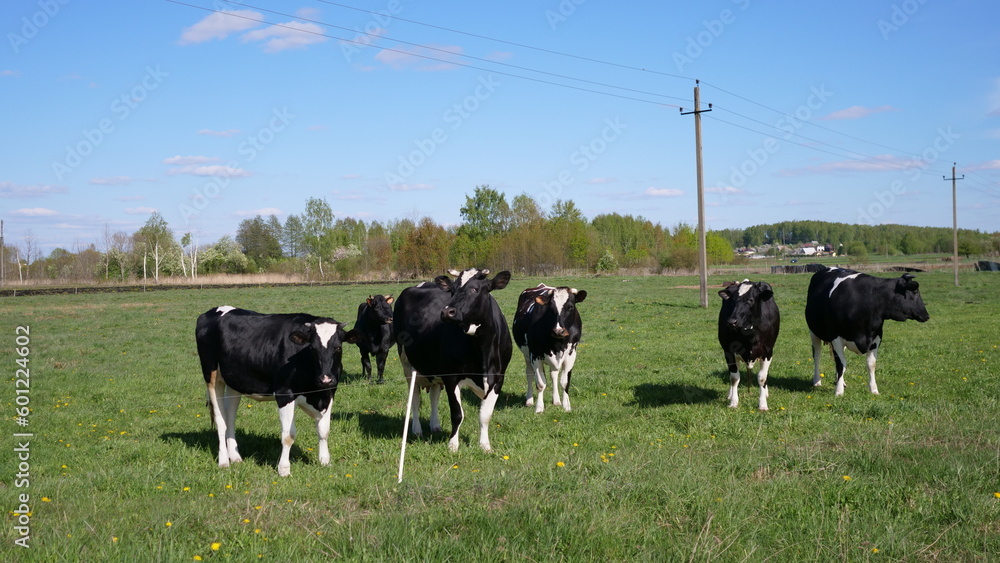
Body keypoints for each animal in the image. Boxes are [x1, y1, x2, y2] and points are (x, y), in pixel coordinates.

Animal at [195, 306, 358, 476]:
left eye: (338, 348)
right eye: (313, 348)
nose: (325, 379)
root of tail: (213, 310)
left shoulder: (329, 392)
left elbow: (324, 430)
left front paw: (325, 461)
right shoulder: (284, 393)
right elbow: (288, 435)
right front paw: (284, 469)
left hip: (234, 382)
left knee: (230, 417)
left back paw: (235, 457)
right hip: (211, 376)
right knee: (220, 420)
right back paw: (223, 461)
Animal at [392, 268, 513, 453]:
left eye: (475, 289)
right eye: (452, 290)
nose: (447, 312)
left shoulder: (498, 378)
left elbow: (485, 415)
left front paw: (485, 446)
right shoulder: (451, 377)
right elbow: (457, 414)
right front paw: (453, 445)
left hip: (433, 369)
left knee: (434, 394)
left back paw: (435, 426)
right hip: (408, 365)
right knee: (415, 399)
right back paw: (417, 430)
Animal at [512, 283, 587, 413]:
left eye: (570, 307)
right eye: (551, 308)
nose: (558, 331)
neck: (558, 343)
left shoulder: (571, 355)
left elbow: (564, 382)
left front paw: (566, 406)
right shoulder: (535, 355)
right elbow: (541, 384)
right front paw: (539, 408)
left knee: (554, 374)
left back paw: (556, 400)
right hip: (526, 355)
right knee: (529, 374)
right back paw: (529, 400)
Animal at [717, 279, 780, 411]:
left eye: (751, 300)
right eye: (732, 300)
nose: (732, 321)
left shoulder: (768, 351)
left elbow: (762, 378)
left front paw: (763, 404)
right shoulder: (729, 351)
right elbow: (734, 377)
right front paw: (733, 402)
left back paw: (766, 393)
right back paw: (730, 394)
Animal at [805, 266, 930, 396]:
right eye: (916, 292)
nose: (927, 315)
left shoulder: (875, 338)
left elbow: (871, 364)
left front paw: (873, 389)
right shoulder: (836, 338)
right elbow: (841, 364)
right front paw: (839, 392)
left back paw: (841, 381)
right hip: (814, 333)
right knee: (817, 355)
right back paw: (817, 381)